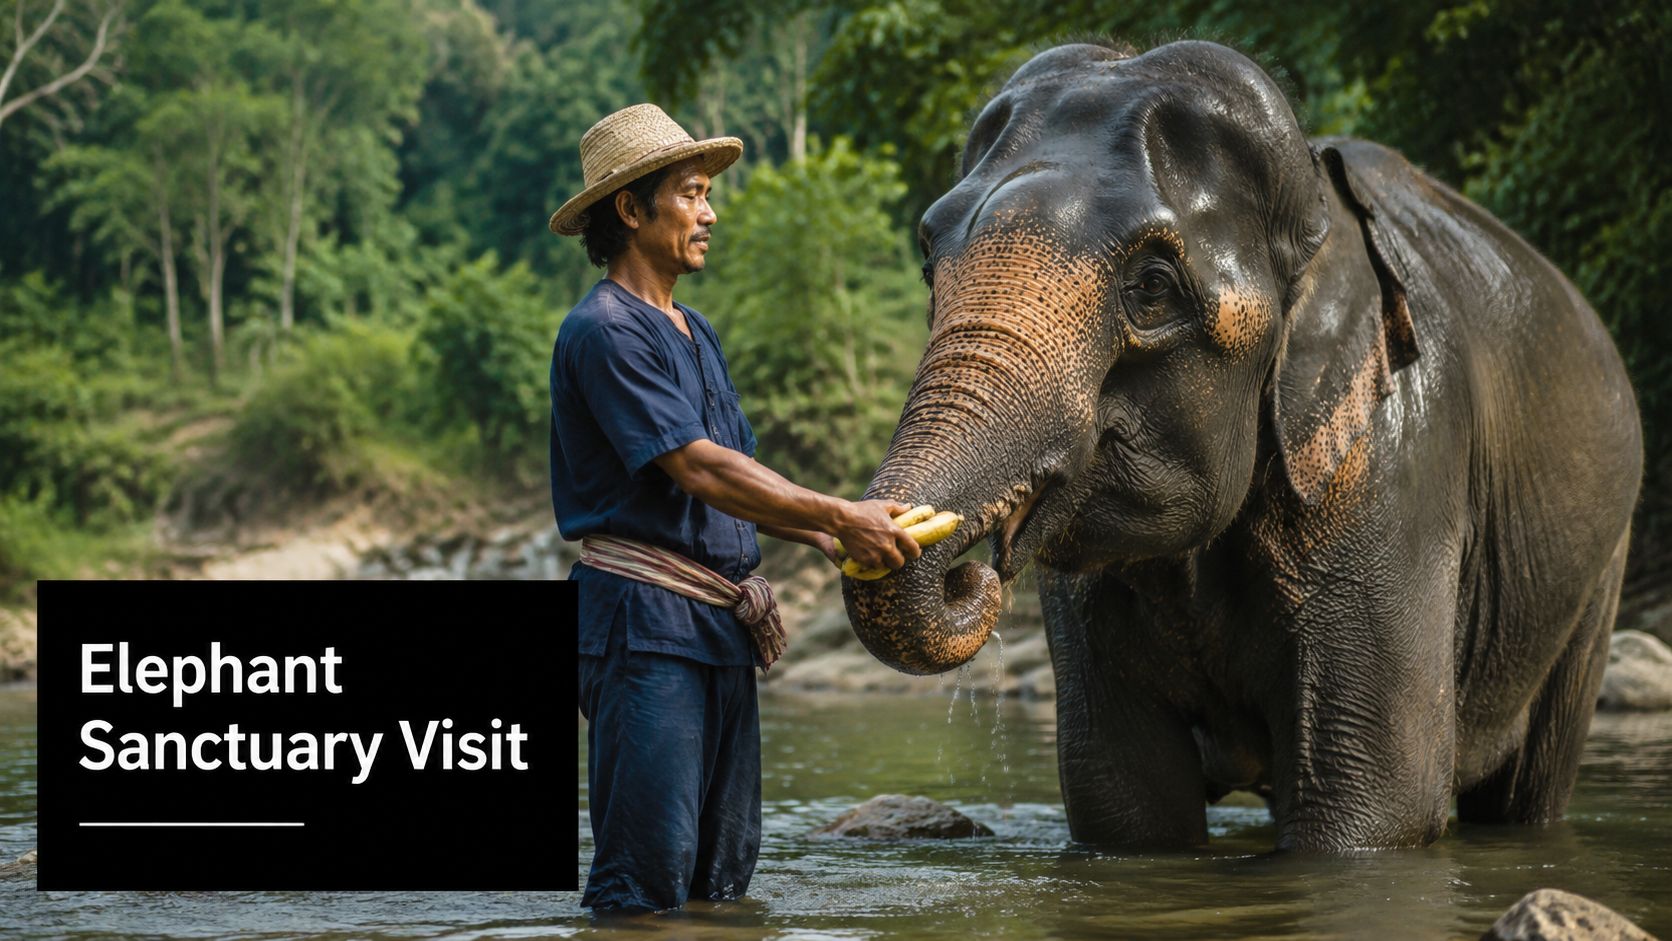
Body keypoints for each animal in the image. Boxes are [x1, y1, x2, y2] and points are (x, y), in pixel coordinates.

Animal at [842, 40, 1644, 852]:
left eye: (1152, 287)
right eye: (929, 261)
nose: (969, 576)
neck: (1320, 211)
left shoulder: (1395, 467)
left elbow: (1377, 802)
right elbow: (1122, 797)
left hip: (1597, 570)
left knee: (1527, 788)